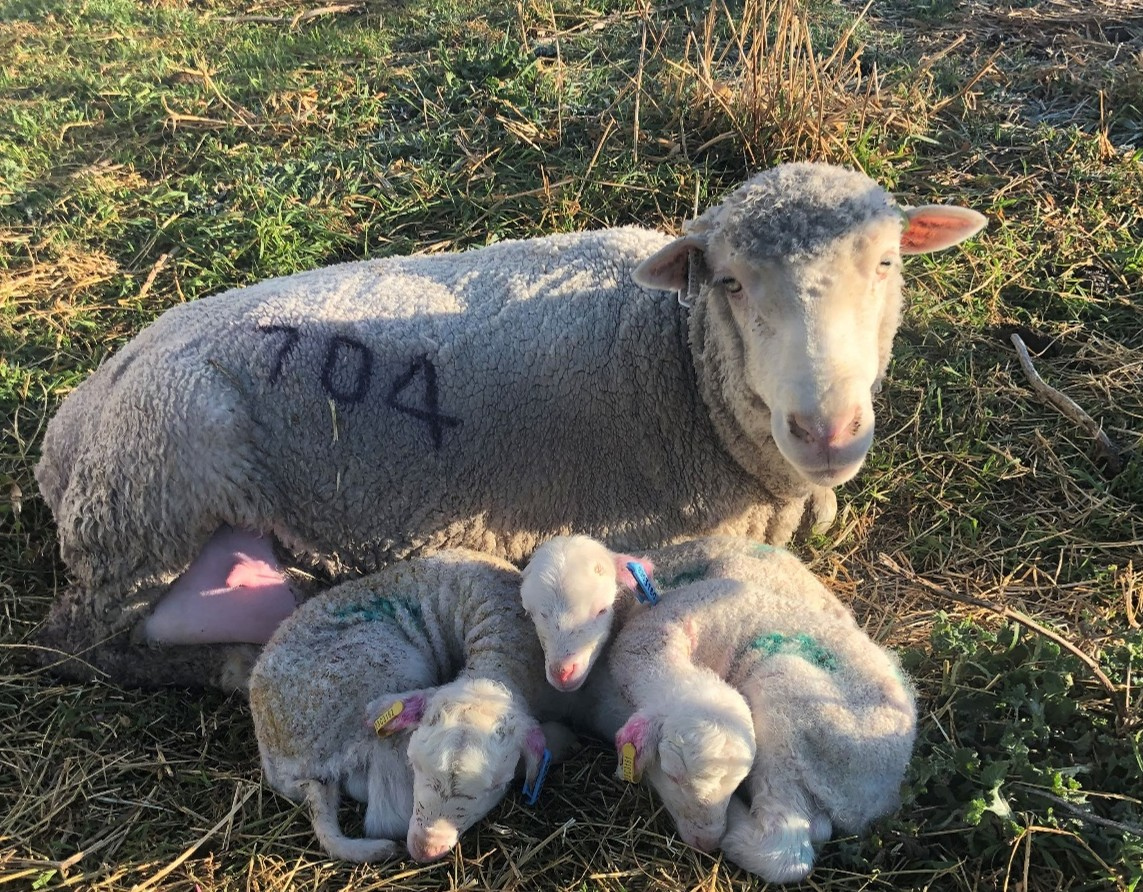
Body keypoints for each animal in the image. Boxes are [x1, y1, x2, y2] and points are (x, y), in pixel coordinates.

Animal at [34, 161, 987, 688]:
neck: (673, 358)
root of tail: (70, 424)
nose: (827, 430)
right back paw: (243, 652)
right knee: (85, 643)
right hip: (149, 503)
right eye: (730, 282)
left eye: (888, 263)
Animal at [246, 548, 576, 862]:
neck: (498, 657)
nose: (423, 849)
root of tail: (284, 766)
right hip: (388, 672)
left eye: (495, 786)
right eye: (414, 764)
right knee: (386, 813)